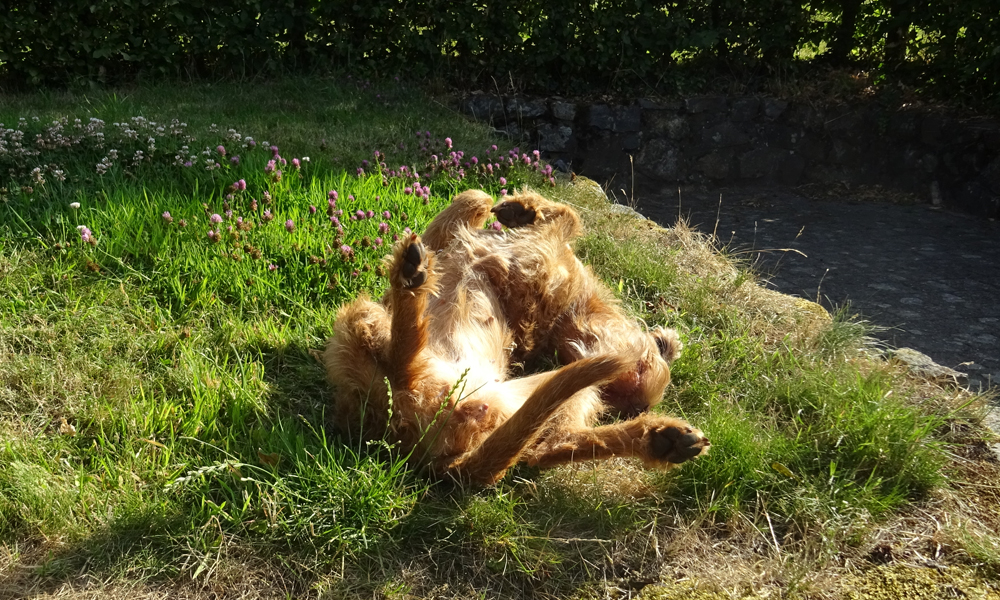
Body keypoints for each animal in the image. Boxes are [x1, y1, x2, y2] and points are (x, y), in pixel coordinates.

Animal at [320, 189, 709, 485]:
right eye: (645, 366)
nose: (632, 404)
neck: (567, 315)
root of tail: (429, 458)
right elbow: (477, 200)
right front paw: (522, 209)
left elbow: (558, 214)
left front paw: (524, 208)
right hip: (561, 394)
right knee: (546, 448)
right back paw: (664, 440)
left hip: (364, 321)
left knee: (401, 359)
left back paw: (410, 279)